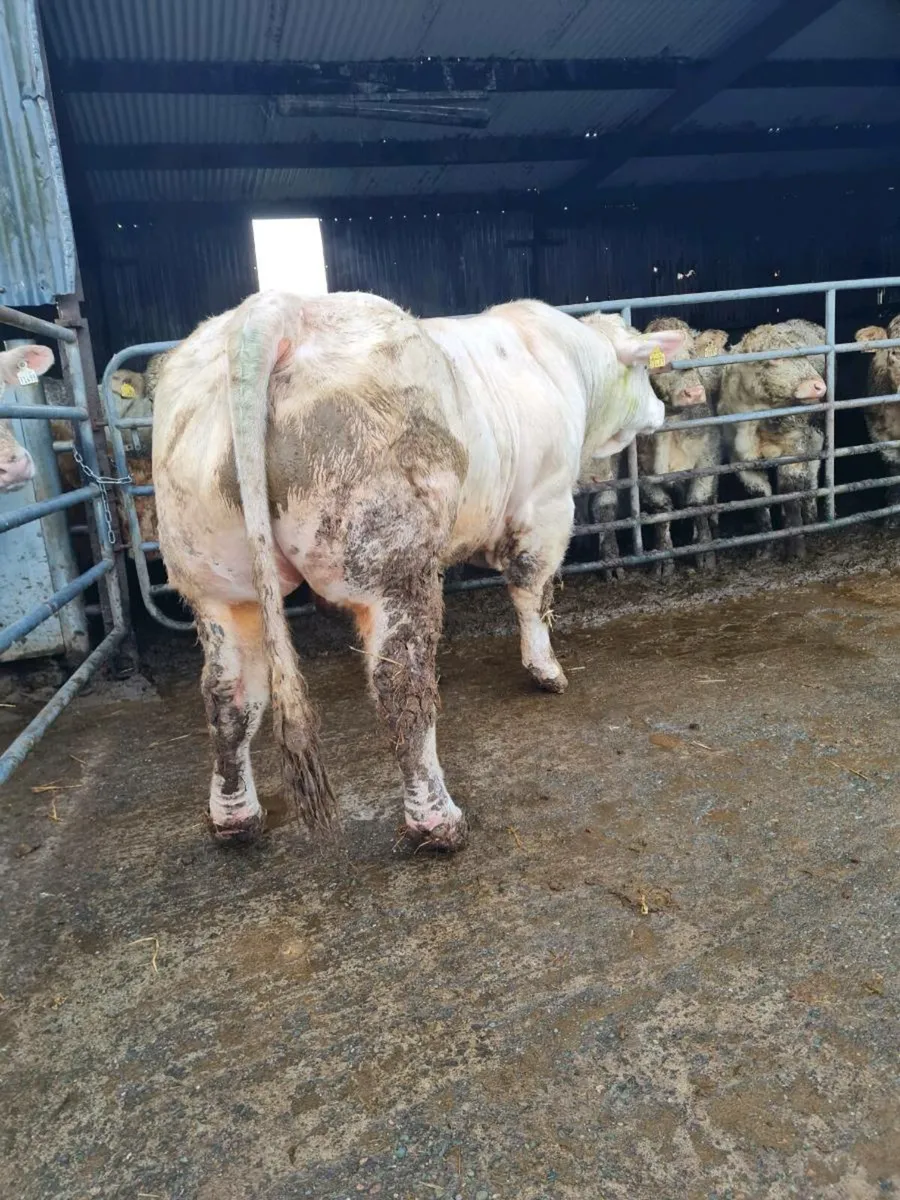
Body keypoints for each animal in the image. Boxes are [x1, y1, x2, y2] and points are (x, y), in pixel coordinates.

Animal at [152, 291, 684, 851]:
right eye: (646, 372)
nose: (661, 409)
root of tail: (282, 307)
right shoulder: (546, 506)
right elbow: (531, 591)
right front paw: (547, 671)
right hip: (392, 566)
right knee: (401, 686)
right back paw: (438, 821)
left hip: (219, 584)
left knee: (228, 694)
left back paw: (235, 817)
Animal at [637, 317, 728, 577]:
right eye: (660, 362)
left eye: (692, 353)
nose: (694, 393)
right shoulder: (641, 473)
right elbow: (662, 512)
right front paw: (663, 560)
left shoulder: (708, 457)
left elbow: (697, 504)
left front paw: (705, 553)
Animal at [717, 320, 827, 557]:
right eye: (775, 357)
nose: (819, 386)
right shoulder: (740, 460)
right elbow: (760, 499)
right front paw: (765, 548)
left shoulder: (794, 450)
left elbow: (790, 495)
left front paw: (796, 547)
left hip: (816, 437)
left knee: (811, 477)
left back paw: (811, 517)